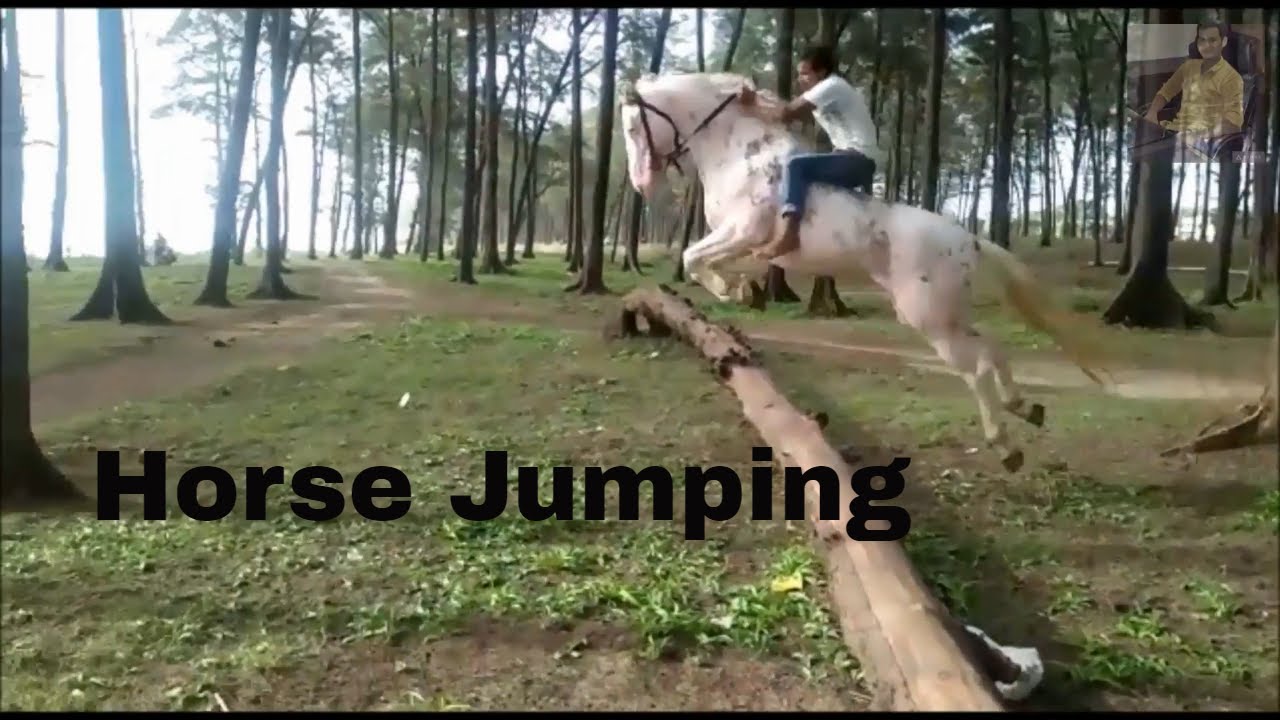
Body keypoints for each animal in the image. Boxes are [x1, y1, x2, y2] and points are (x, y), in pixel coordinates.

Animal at [618, 71, 1111, 472]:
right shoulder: (745, 244)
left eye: (633, 126)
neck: (742, 155)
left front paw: (732, 289)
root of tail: (968, 240)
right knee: (992, 348)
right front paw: (742, 289)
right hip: (946, 315)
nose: (641, 183)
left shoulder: (743, 231)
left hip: (929, 320)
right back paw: (1024, 408)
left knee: (976, 369)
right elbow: (701, 260)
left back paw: (1007, 446)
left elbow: (693, 258)